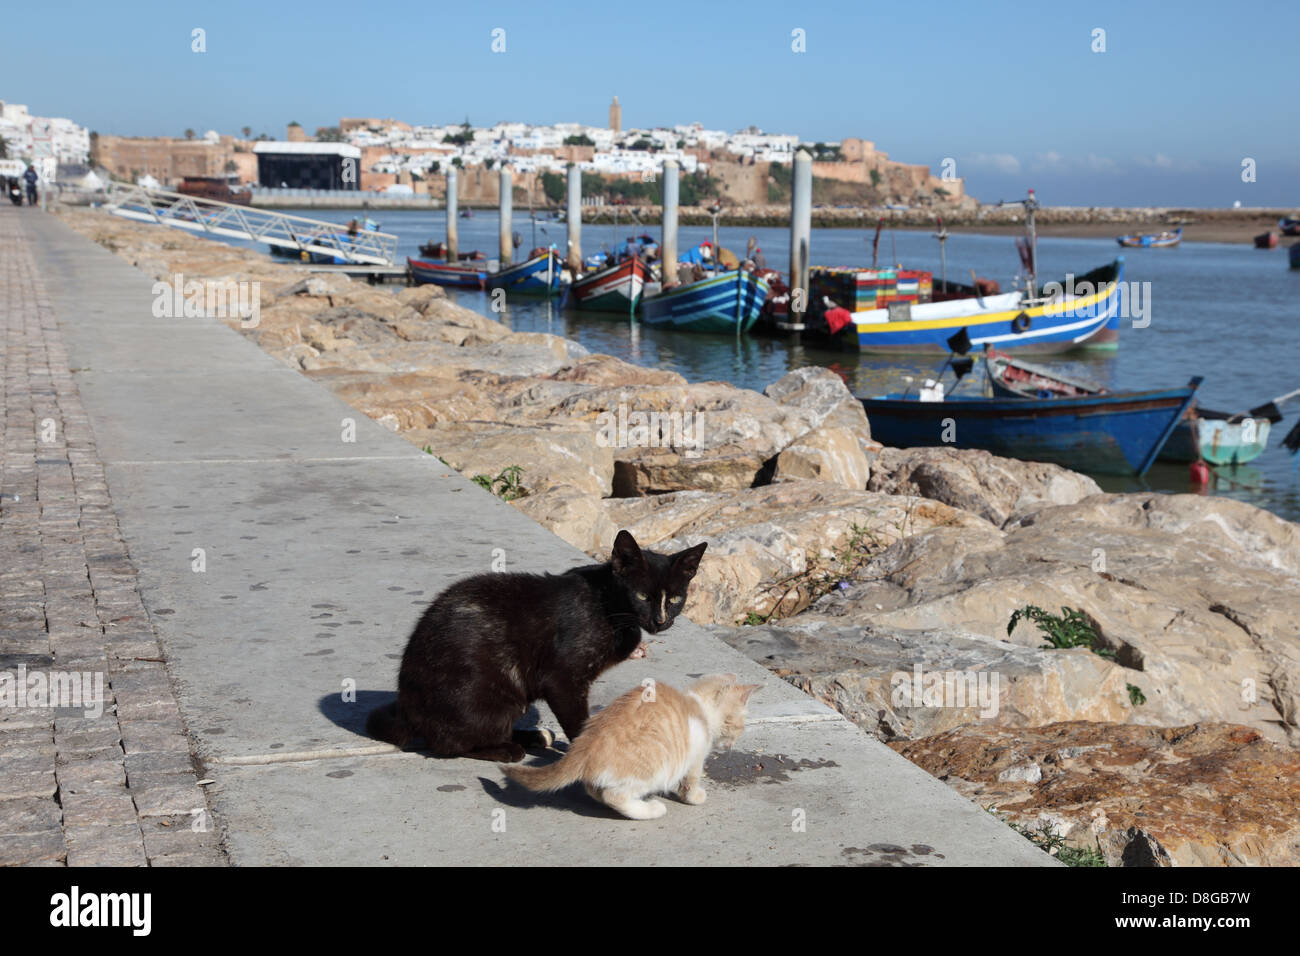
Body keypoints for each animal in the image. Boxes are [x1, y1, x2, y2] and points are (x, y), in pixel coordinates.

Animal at [366, 530, 707, 764]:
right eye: (642, 596)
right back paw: (507, 749)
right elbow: (577, 721)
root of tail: (407, 709)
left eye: (675, 599)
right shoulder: (562, 680)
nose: (660, 621)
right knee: (449, 744)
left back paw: (533, 736)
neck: (610, 605)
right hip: (488, 695)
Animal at [499, 671, 759, 822]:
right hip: (654, 768)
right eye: (740, 724)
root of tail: (586, 744)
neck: (699, 708)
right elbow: (690, 780)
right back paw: (651, 810)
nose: (733, 743)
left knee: (596, 790)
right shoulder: (694, 757)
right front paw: (694, 796)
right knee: (615, 795)